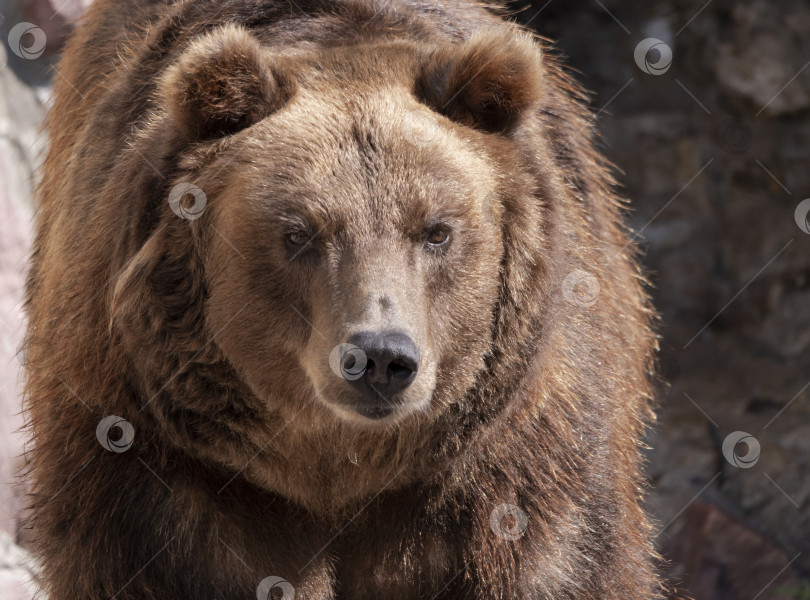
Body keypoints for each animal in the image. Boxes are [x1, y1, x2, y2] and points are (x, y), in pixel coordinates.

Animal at [23, 0, 656, 596]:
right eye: (299, 233)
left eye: (436, 230)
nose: (379, 356)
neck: (339, 468)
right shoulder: (160, 463)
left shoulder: (512, 472)